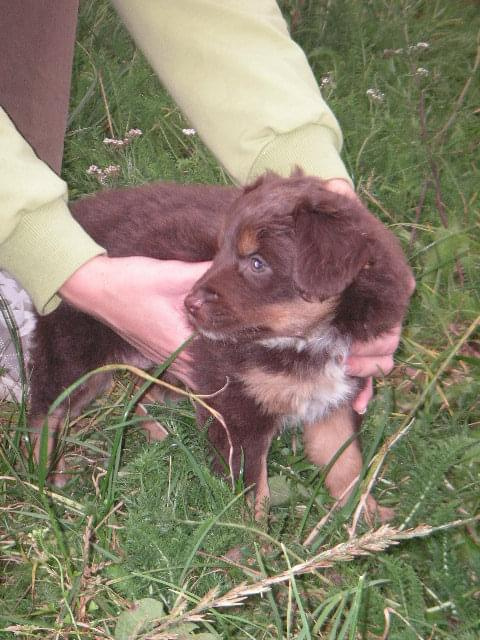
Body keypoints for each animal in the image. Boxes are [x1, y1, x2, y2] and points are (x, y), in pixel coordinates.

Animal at [29, 172, 412, 516]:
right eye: (219, 250)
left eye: (257, 262)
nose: (188, 303)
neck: (308, 341)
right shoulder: (236, 411)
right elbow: (252, 493)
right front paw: (252, 543)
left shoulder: (336, 401)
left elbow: (347, 464)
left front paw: (365, 518)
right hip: (75, 354)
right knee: (45, 413)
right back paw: (43, 478)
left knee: (138, 392)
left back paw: (155, 431)